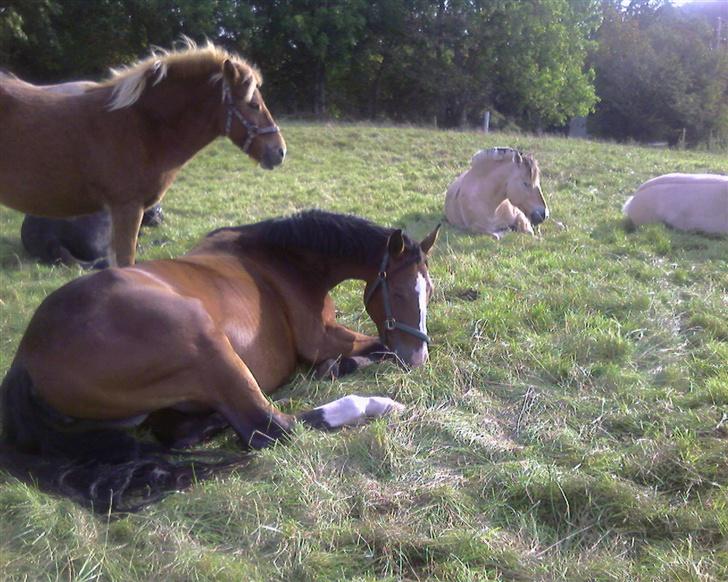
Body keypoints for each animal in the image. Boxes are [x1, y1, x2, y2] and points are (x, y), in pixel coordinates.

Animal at [0, 212, 438, 512]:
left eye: (429, 290)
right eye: (400, 292)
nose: (418, 358)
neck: (283, 260)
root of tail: (26, 358)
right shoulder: (324, 337)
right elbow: (375, 348)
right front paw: (347, 367)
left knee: (181, 433)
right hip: (206, 344)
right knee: (269, 429)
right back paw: (374, 404)